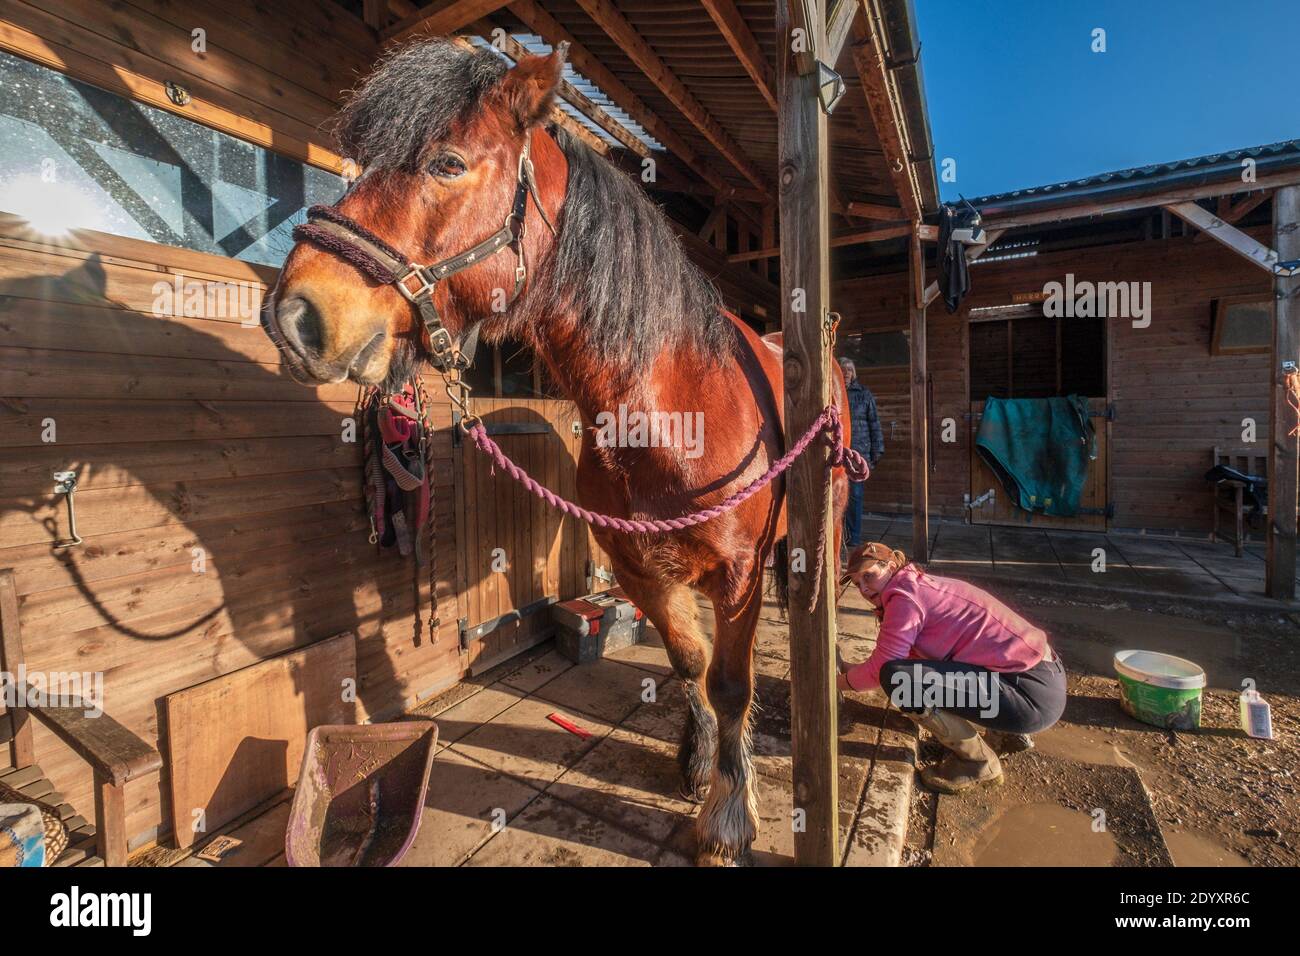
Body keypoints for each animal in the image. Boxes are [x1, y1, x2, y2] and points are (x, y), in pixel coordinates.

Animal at [263, 38, 851, 866]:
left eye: (447, 163)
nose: (295, 316)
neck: (675, 412)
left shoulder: (737, 576)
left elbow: (732, 683)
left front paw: (728, 818)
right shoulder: (638, 568)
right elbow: (690, 663)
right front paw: (699, 757)